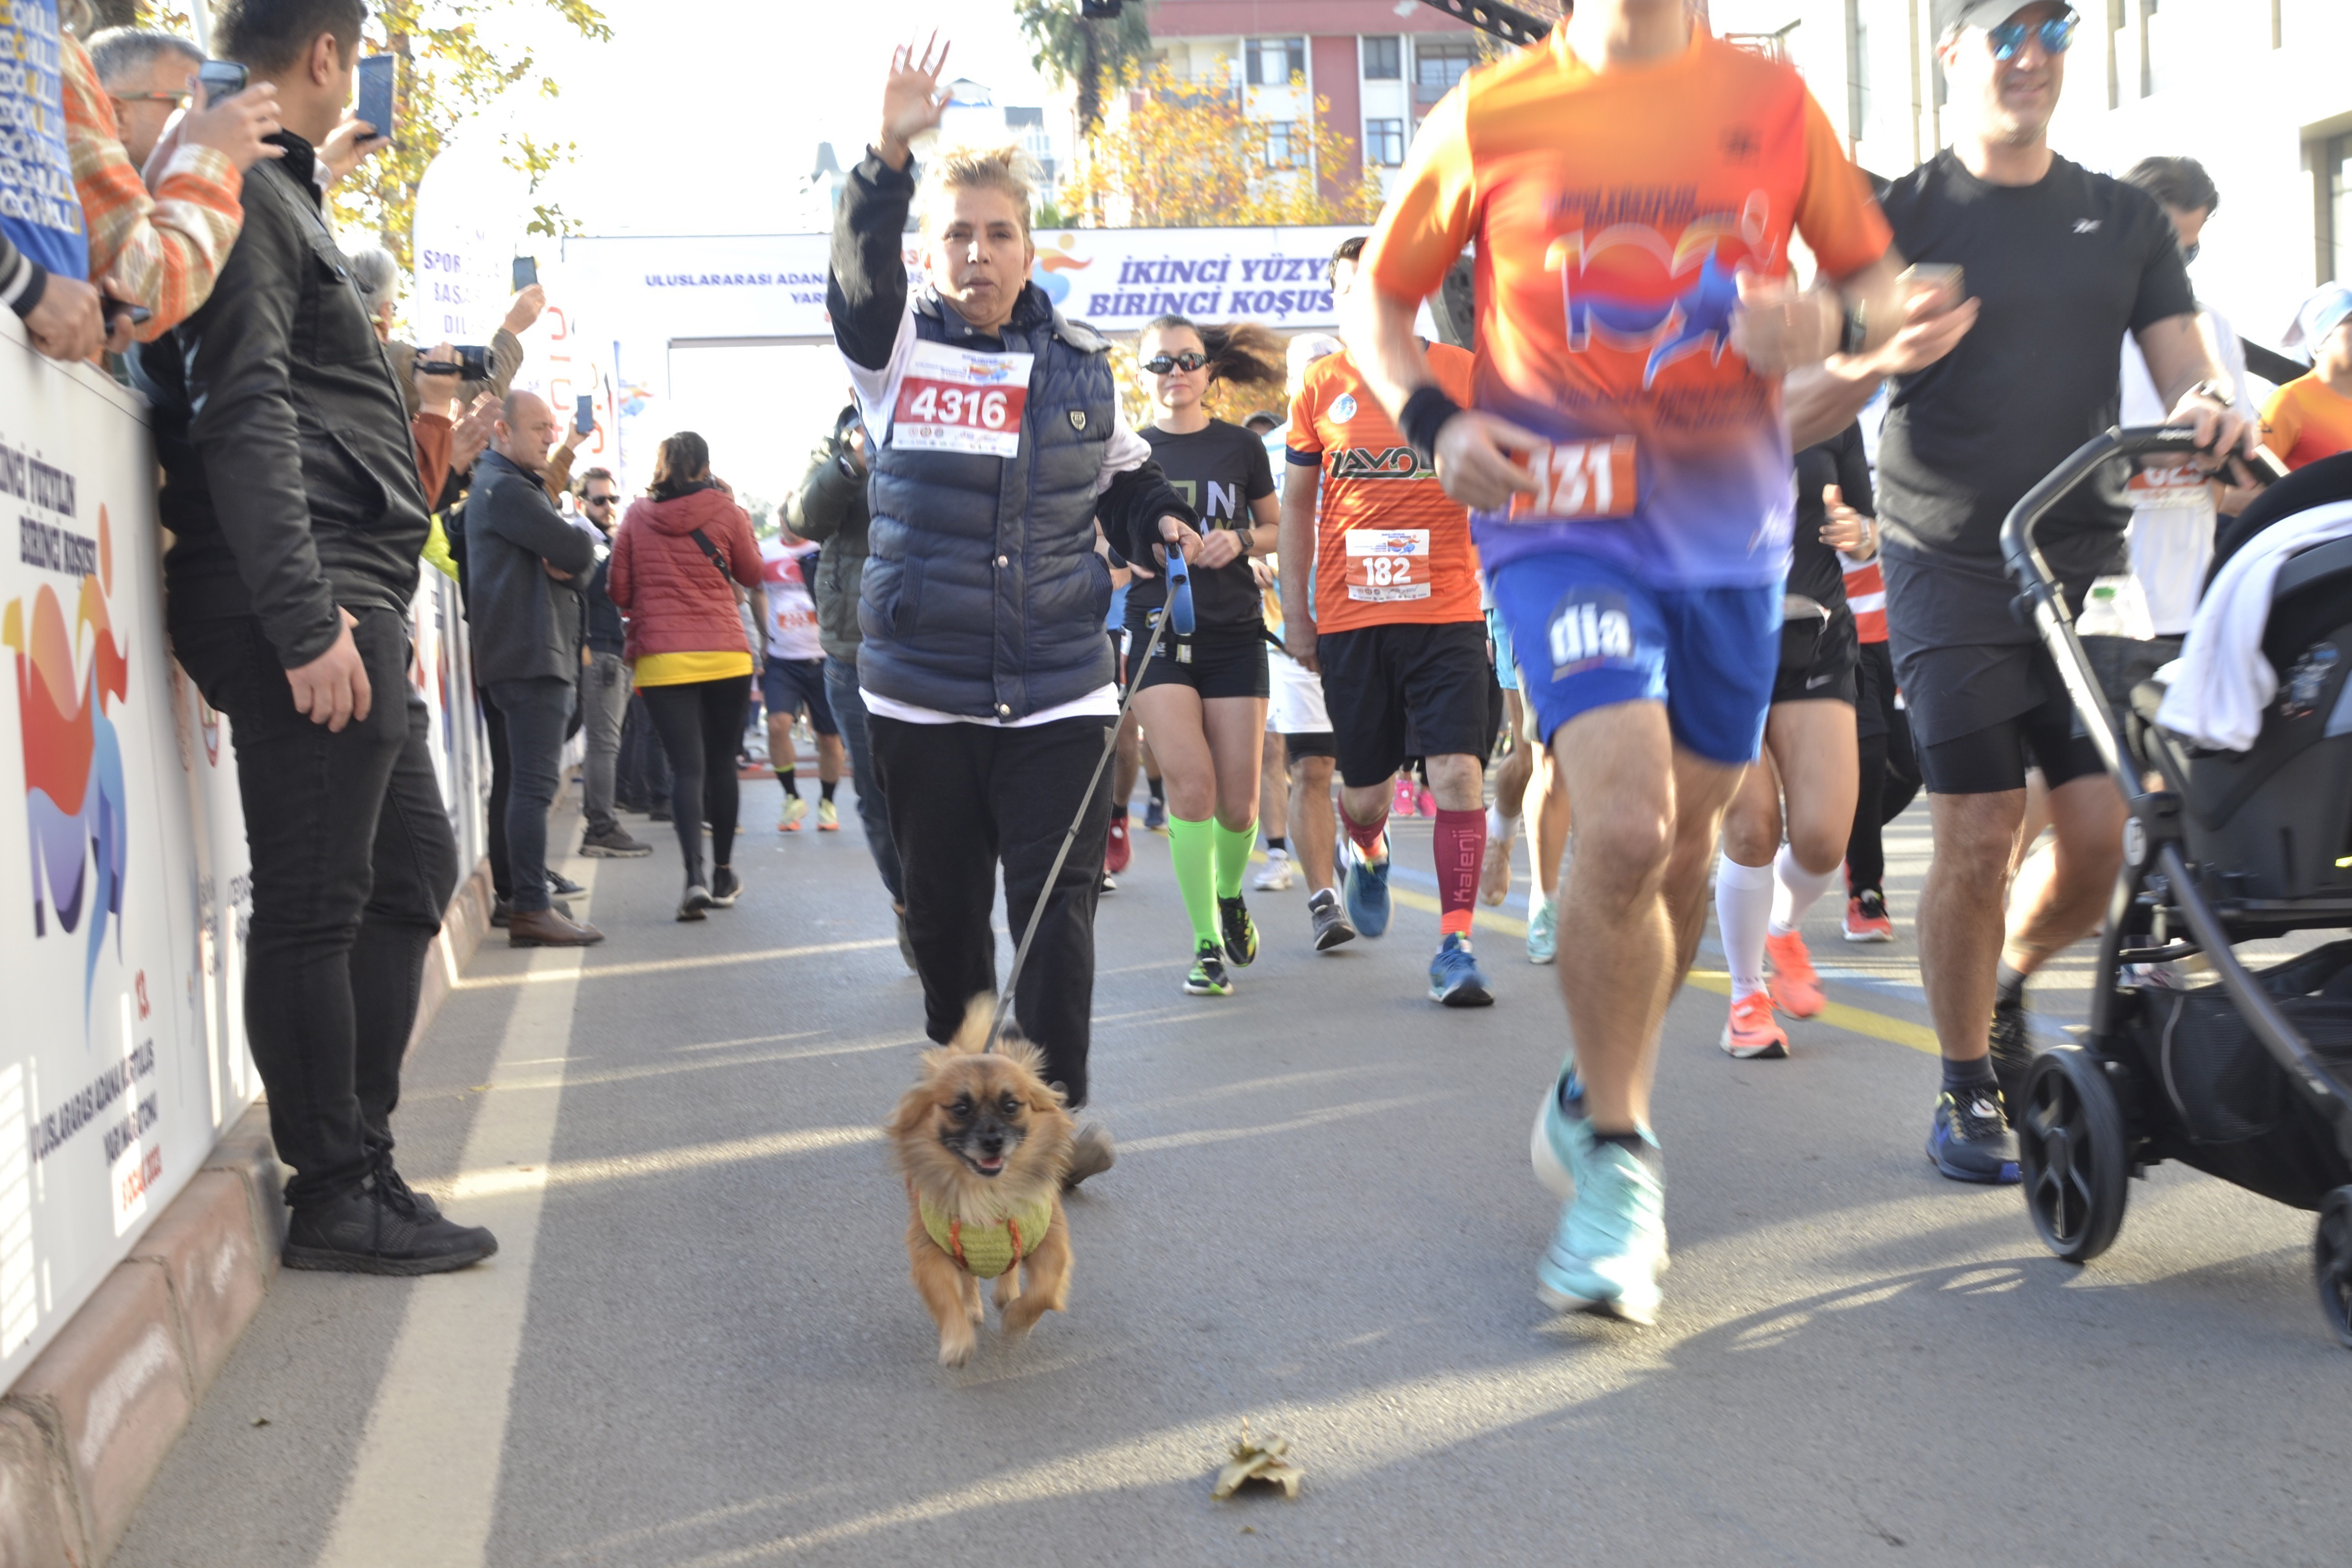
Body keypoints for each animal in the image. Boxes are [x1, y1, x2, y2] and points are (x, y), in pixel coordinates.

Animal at [884, 1006, 1077, 1363]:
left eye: (1011, 1106)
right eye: (961, 1109)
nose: (992, 1141)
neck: (987, 1192)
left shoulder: (1049, 1244)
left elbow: (1043, 1293)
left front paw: (1016, 1323)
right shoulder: (931, 1254)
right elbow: (948, 1300)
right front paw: (957, 1341)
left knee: (1010, 1269)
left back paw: (1007, 1296)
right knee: (969, 1279)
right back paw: (974, 1308)